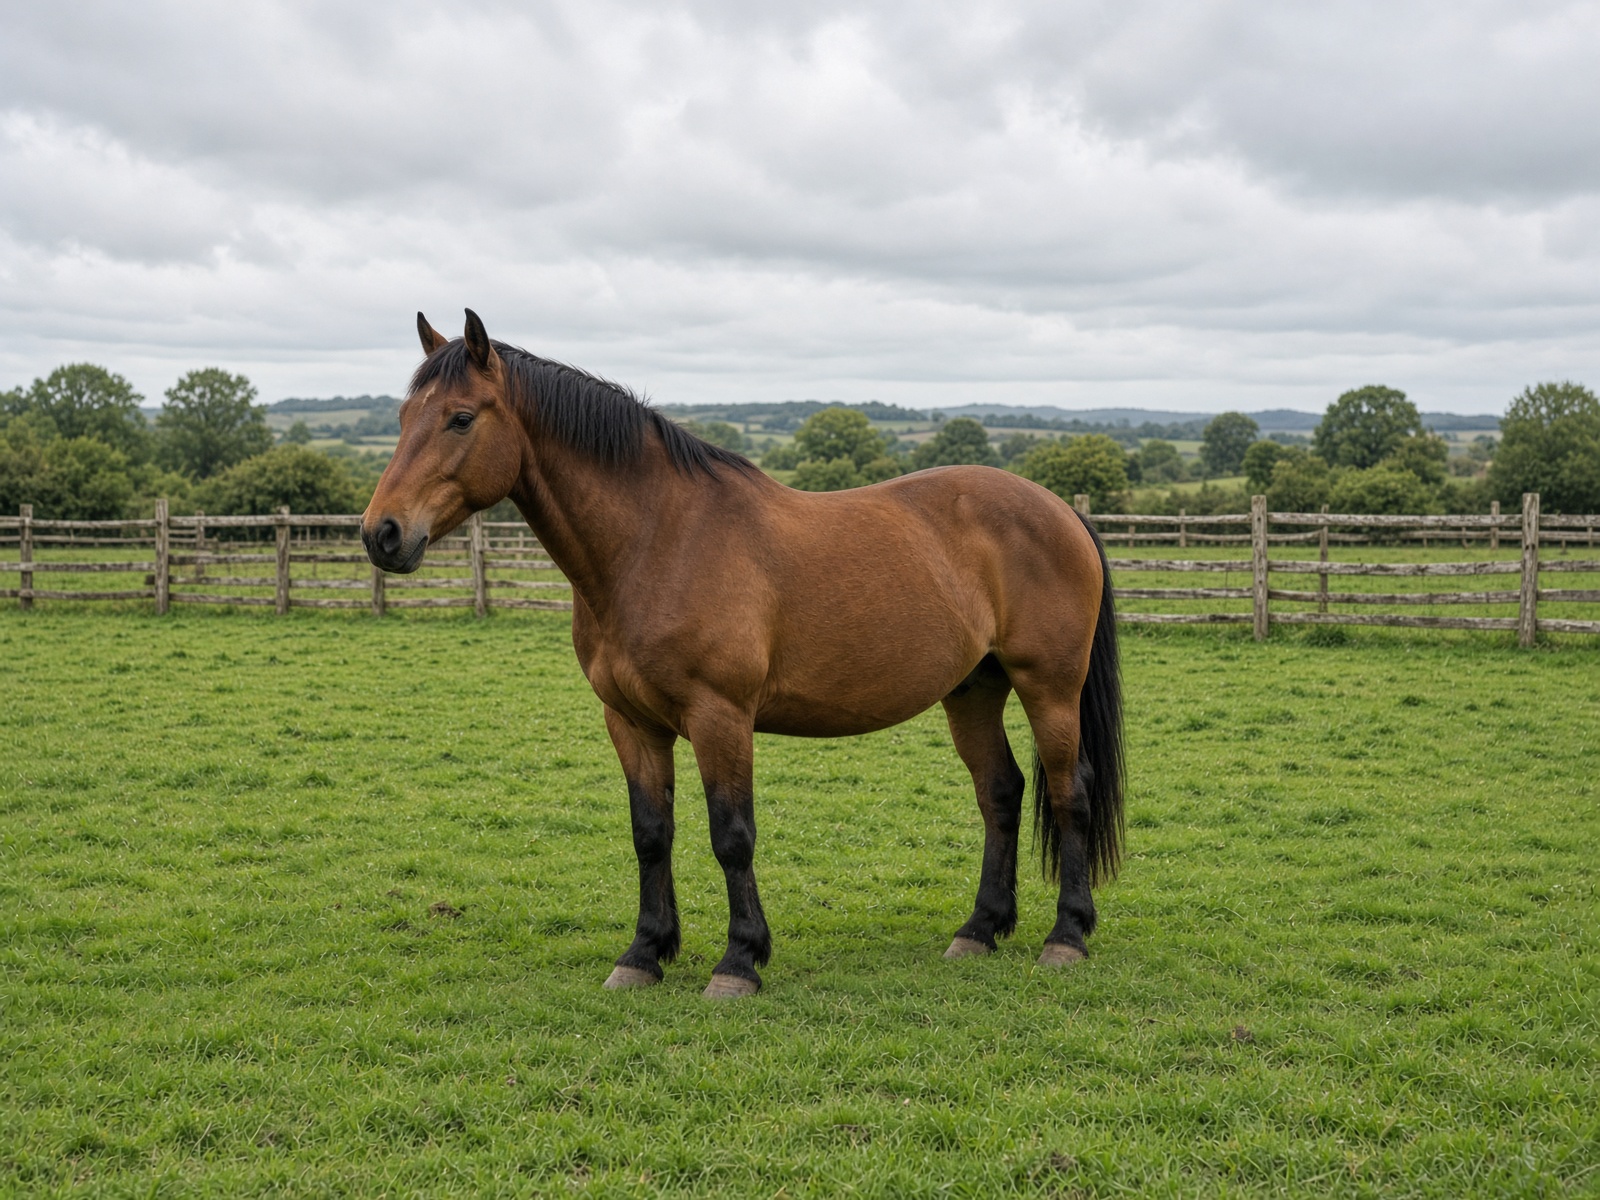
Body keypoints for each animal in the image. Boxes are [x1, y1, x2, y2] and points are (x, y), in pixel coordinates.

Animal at [362, 309, 1125, 999]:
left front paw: (738, 963)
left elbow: (731, 834)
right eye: (402, 417)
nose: (382, 534)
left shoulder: (720, 716)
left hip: (1049, 687)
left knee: (1070, 793)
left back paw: (1066, 936)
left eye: (461, 418)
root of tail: (1059, 508)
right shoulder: (630, 721)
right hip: (973, 689)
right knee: (1001, 793)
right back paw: (979, 930)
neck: (658, 540)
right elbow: (650, 833)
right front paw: (644, 955)